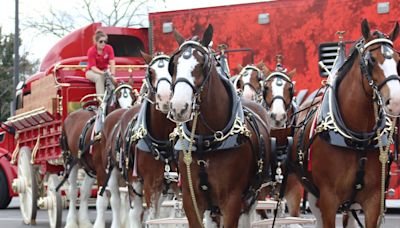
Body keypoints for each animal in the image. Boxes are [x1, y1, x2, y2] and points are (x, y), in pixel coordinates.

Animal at [61, 77, 136, 228]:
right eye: (117, 98)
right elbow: (103, 200)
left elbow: (124, 198)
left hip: (89, 168)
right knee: (73, 192)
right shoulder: (102, 170)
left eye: (133, 98)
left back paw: (84, 221)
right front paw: (100, 224)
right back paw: (71, 221)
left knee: (84, 192)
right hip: (71, 162)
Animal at [167, 24, 274, 227]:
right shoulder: (191, 200)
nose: (179, 106)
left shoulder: (232, 200)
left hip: (250, 198)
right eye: (174, 64)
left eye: (202, 64)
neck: (205, 143)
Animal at [290, 20, 400, 228]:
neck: (357, 139)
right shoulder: (328, 199)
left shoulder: (374, 200)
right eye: (371, 60)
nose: (396, 101)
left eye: (398, 59)